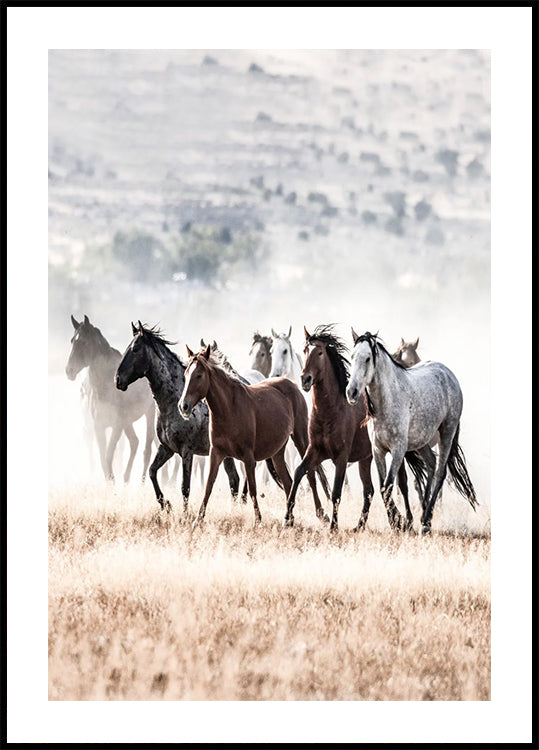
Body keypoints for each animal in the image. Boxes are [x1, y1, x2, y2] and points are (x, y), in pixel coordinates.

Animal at [66, 314, 156, 483]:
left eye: (84, 342)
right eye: (72, 341)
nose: (69, 371)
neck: (105, 386)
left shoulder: (116, 426)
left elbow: (108, 456)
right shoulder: (99, 426)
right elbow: (103, 459)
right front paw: (111, 484)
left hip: (149, 413)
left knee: (147, 449)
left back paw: (141, 482)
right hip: (128, 422)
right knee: (134, 442)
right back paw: (126, 479)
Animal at [115, 322, 241, 511]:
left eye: (135, 349)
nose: (118, 380)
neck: (173, 402)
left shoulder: (186, 451)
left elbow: (185, 487)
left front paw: (185, 515)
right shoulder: (166, 448)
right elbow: (152, 472)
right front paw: (165, 505)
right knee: (234, 480)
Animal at [179, 344, 329, 527]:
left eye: (199, 375)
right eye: (186, 374)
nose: (183, 406)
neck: (229, 409)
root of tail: (292, 384)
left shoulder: (249, 458)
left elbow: (252, 489)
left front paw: (258, 521)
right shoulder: (216, 454)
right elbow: (208, 486)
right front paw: (197, 520)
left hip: (301, 439)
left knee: (311, 475)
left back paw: (321, 514)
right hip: (277, 453)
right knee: (288, 482)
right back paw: (289, 519)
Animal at [346, 330, 477, 533]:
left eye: (367, 358)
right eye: (352, 357)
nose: (351, 392)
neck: (389, 400)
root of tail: (448, 374)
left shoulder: (398, 450)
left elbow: (389, 485)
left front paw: (399, 523)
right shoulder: (378, 450)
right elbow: (384, 487)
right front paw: (399, 522)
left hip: (447, 433)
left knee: (440, 472)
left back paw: (426, 522)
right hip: (422, 441)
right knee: (431, 465)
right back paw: (424, 515)